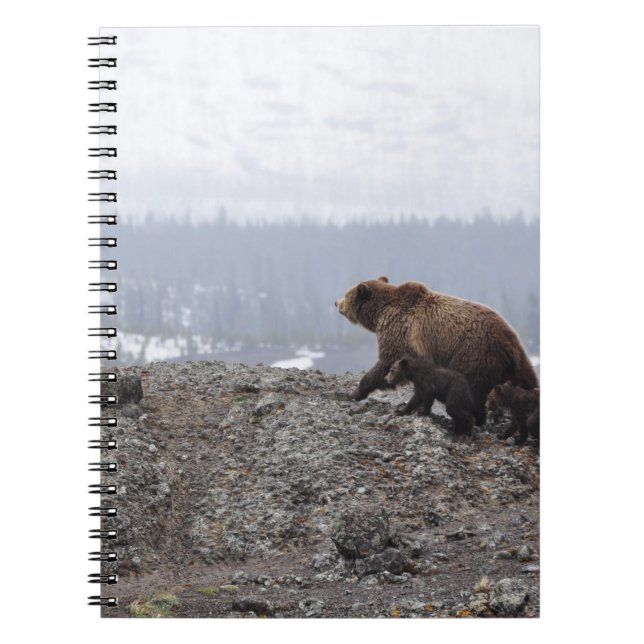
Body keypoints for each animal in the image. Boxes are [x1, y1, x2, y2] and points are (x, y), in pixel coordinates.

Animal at [335, 276, 537, 425]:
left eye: (346, 294)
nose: (336, 302)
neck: (379, 314)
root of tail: (508, 343)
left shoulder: (399, 333)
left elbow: (385, 363)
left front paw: (356, 392)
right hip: (517, 362)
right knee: (527, 381)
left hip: (473, 353)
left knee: (471, 388)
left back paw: (473, 418)